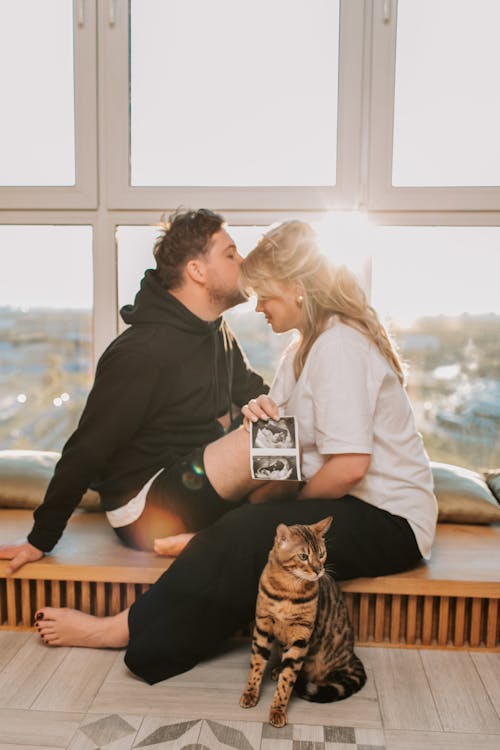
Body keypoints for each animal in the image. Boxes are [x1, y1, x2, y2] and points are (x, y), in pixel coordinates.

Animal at [240, 516, 366, 728]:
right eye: (303, 556)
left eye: (321, 554)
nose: (318, 570)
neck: (288, 590)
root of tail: (352, 655)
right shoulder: (263, 627)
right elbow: (256, 664)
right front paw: (250, 693)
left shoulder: (300, 636)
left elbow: (287, 680)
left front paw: (277, 710)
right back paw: (276, 669)